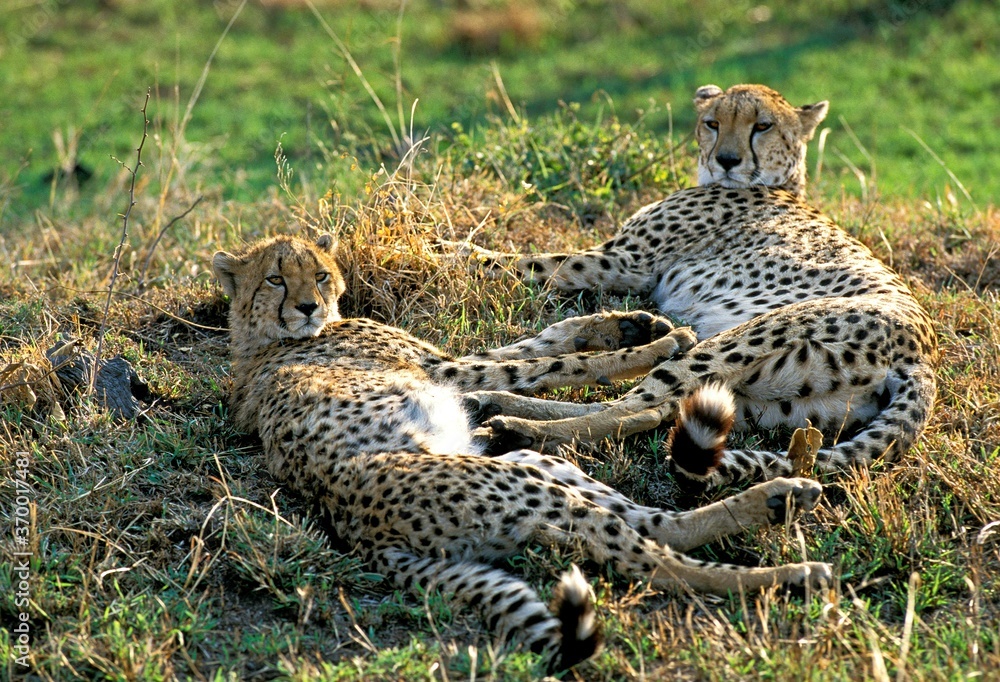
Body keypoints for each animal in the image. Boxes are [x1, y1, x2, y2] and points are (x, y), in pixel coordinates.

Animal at [212, 233, 833, 672]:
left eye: (319, 274)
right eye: (274, 279)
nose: (308, 308)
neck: (262, 343)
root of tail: (356, 533)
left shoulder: (456, 365)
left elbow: (544, 340)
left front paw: (631, 324)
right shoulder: (448, 370)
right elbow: (552, 364)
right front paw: (658, 344)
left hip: (528, 467)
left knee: (659, 524)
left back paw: (780, 498)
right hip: (521, 487)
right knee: (656, 563)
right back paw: (794, 575)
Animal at [455, 83, 938, 490]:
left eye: (763, 126)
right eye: (712, 123)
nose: (727, 160)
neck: (779, 186)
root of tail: (922, 354)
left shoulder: (622, 261)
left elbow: (513, 259)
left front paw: (447, 248)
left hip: (739, 340)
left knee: (631, 405)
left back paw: (516, 427)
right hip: (767, 403)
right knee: (651, 409)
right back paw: (496, 406)